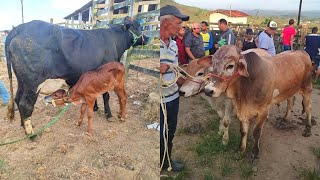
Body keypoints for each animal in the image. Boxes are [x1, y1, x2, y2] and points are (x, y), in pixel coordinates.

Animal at [5, 16, 147, 135]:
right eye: (137, 26)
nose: (147, 38)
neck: (115, 41)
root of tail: (22, 27)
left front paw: (95, 107)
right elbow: (106, 96)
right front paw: (109, 115)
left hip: (22, 81)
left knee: (17, 99)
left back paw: (23, 126)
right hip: (33, 83)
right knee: (25, 104)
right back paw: (31, 134)